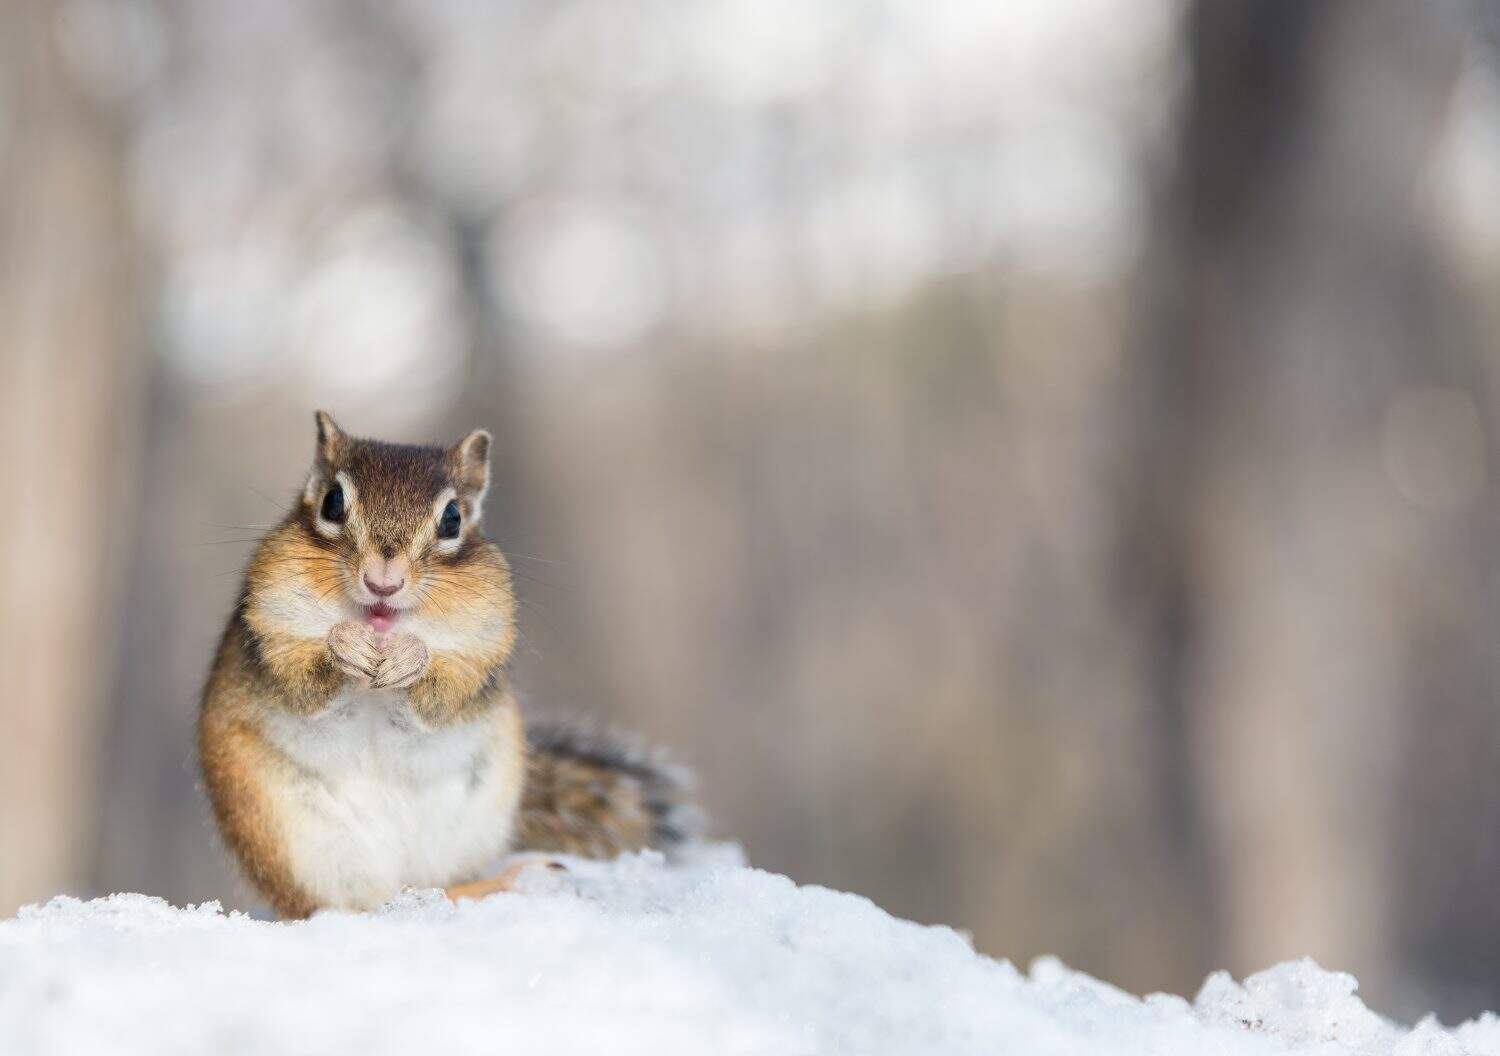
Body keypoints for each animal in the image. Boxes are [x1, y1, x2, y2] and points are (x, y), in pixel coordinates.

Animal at [198, 412, 700, 918]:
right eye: (332, 503)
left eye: (453, 519)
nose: (383, 583)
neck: (382, 628)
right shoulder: (268, 632)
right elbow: (300, 681)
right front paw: (346, 645)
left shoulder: (481, 648)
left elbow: (443, 695)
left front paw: (410, 657)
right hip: (294, 842)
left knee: (428, 892)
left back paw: (500, 884)